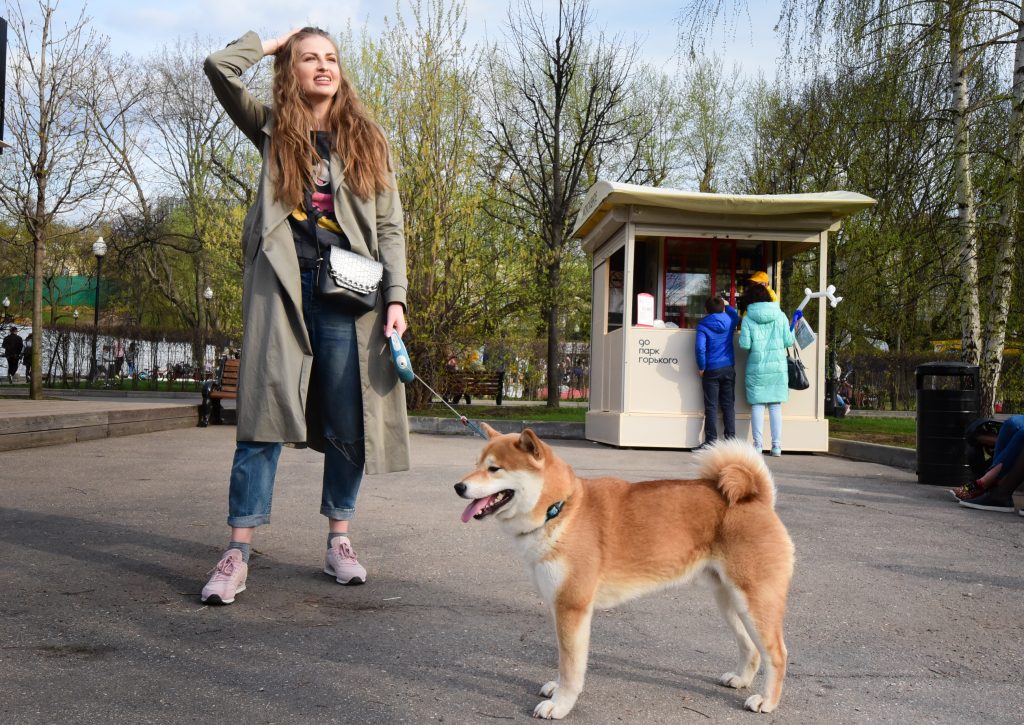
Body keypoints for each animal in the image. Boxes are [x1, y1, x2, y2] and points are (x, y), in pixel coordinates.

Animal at [452, 423, 794, 720]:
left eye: (494, 469)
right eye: (476, 464)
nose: (458, 486)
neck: (561, 509)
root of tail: (757, 498)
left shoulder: (572, 607)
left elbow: (570, 666)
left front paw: (560, 705)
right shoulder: (561, 608)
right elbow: (565, 659)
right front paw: (556, 690)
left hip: (755, 601)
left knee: (777, 654)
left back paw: (767, 701)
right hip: (730, 601)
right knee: (751, 648)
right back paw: (741, 679)